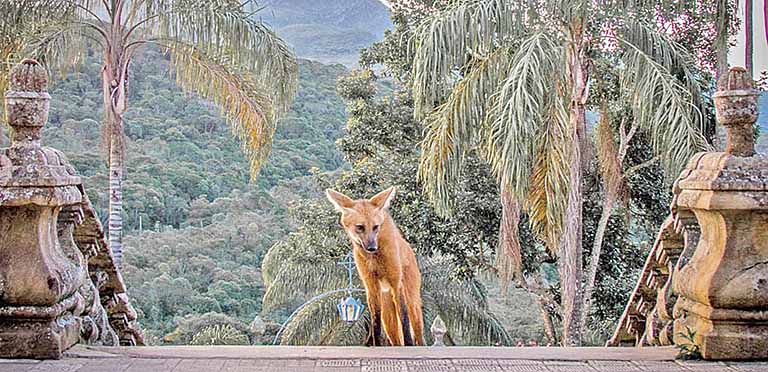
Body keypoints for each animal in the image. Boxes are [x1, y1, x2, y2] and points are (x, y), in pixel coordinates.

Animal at [326, 187, 426, 348]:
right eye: (360, 227)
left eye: (375, 227)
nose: (372, 247)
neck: (375, 258)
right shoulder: (371, 286)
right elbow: (375, 321)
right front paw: (376, 344)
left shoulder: (396, 283)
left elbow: (404, 319)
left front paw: (409, 345)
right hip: (387, 313)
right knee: (395, 338)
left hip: (411, 301)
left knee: (417, 332)